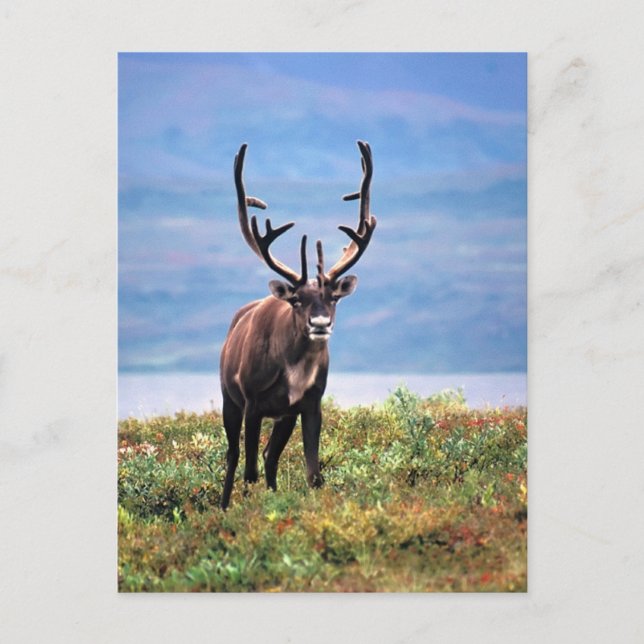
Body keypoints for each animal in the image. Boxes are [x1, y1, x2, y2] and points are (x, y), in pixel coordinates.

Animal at [218, 141, 377, 509]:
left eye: (333, 298)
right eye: (297, 300)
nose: (320, 323)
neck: (294, 369)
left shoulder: (309, 403)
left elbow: (314, 474)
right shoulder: (253, 402)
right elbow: (248, 472)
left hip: (284, 416)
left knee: (269, 457)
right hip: (229, 399)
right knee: (234, 457)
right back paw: (224, 505)